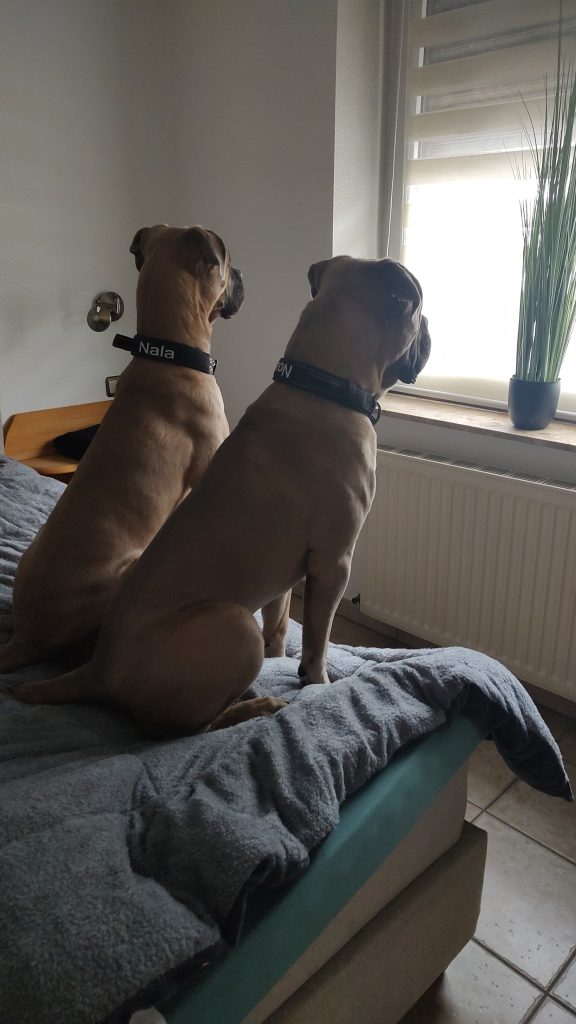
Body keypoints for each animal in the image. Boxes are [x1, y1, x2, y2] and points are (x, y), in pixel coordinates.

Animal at [14, 256, 430, 736]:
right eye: (418, 311)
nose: (428, 328)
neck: (320, 385)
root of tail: (98, 671)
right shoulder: (333, 564)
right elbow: (317, 640)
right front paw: (318, 682)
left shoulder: (285, 576)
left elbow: (280, 626)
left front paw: (279, 657)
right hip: (233, 623)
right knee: (191, 728)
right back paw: (254, 706)